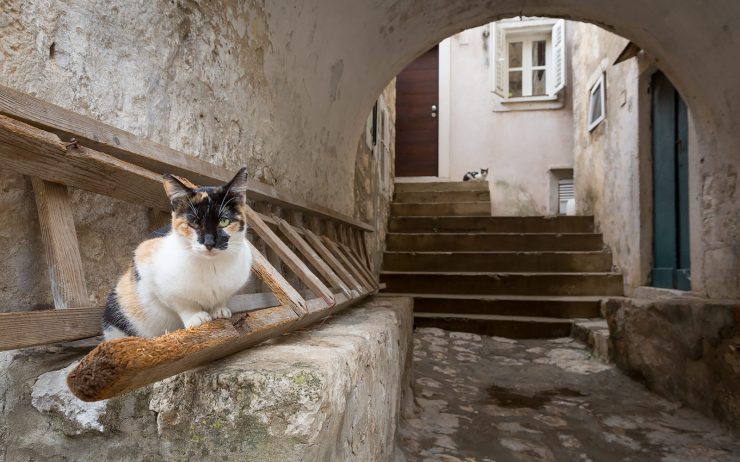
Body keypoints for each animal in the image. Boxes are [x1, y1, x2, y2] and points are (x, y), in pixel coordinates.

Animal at [101, 168, 253, 338]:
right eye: (194, 223)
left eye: (224, 221)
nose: (209, 242)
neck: (211, 265)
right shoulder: (145, 257)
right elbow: (181, 303)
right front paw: (196, 317)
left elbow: (223, 297)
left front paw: (219, 309)